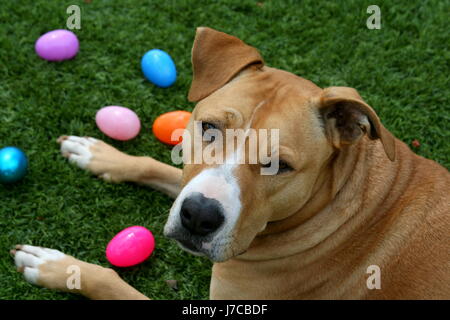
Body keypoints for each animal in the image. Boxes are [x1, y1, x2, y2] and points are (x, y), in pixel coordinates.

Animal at [12, 27, 448, 300]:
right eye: (208, 127)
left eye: (279, 165)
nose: (198, 217)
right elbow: (159, 167)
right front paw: (101, 154)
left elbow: (112, 282)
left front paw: (57, 266)